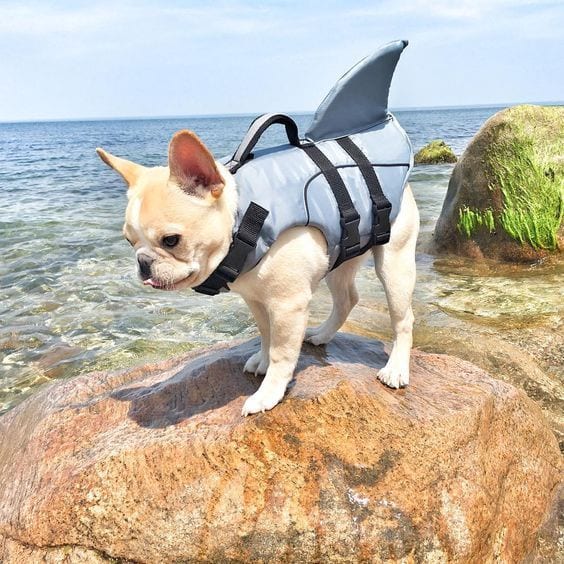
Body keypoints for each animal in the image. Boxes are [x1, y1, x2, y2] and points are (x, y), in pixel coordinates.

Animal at [94, 130, 418, 416]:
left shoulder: (287, 306)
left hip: (395, 264)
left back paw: (395, 369)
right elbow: (265, 334)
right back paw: (323, 334)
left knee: (403, 319)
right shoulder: (256, 299)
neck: (243, 222)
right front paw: (262, 360)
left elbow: (282, 353)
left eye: (171, 240)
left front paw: (268, 394)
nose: (143, 262)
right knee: (347, 299)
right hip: (339, 259)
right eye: (129, 241)